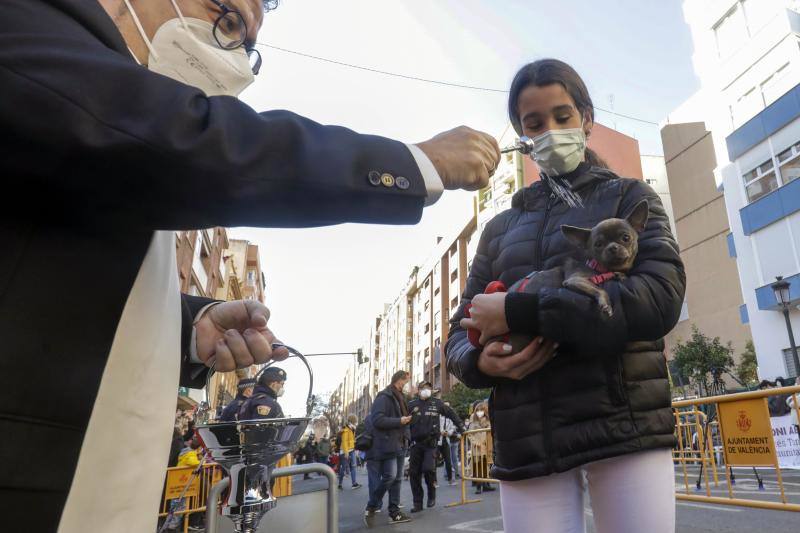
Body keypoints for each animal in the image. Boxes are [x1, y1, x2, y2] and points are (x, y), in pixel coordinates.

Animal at [466, 197, 648, 352]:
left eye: (626, 238)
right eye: (598, 244)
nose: (612, 247)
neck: (600, 269)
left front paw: (620, 276)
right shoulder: (575, 280)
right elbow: (600, 289)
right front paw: (605, 304)